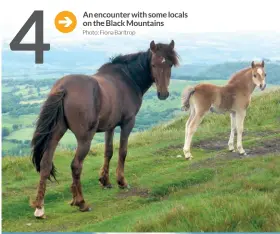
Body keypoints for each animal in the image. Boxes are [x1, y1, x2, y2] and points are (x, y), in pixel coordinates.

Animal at [31, 40, 179, 218]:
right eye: (153, 64)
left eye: (169, 64)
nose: (163, 94)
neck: (128, 78)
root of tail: (63, 88)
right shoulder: (128, 123)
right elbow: (122, 151)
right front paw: (121, 181)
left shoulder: (110, 126)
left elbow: (108, 152)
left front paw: (105, 181)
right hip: (85, 138)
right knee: (76, 166)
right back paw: (81, 202)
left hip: (56, 133)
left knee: (45, 164)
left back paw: (40, 207)